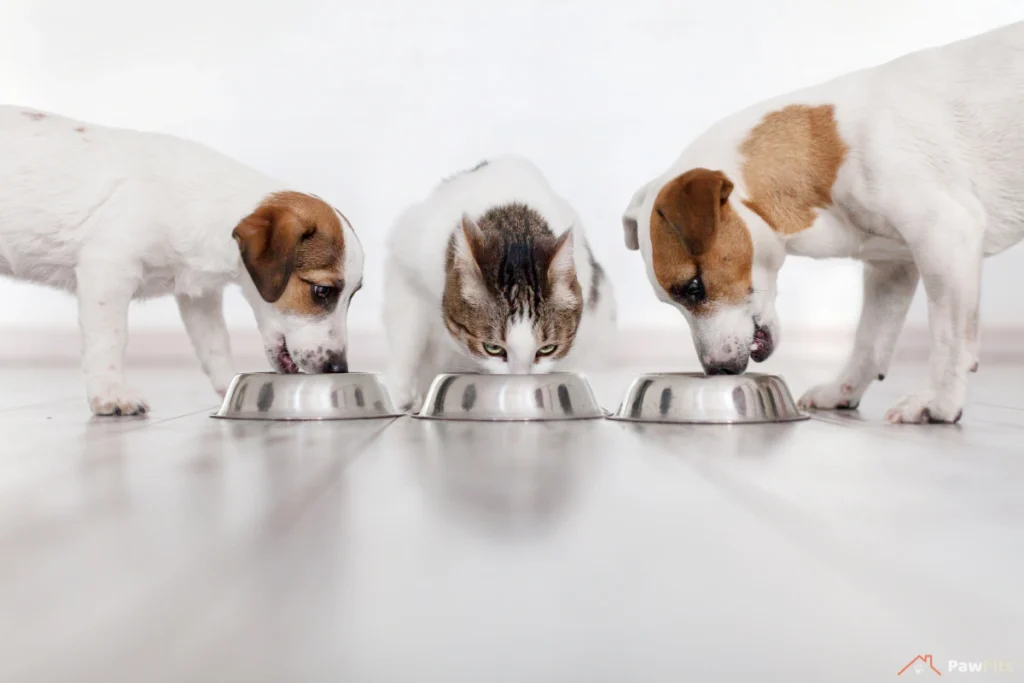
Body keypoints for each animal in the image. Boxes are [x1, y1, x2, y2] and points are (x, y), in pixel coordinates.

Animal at [0, 107, 366, 417]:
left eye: (353, 296)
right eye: (322, 291)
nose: (339, 369)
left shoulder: (200, 297)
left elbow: (216, 345)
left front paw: (228, 386)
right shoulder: (108, 270)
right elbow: (110, 339)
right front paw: (111, 393)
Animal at [380, 156, 610, 411]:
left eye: (547, 349)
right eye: (493, 348)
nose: (519, 380)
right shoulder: (407, 264)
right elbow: (407, 342)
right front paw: (397, 395)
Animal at [618, 22, 1024, 421]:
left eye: (694, 287)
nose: (716, 370)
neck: (829, 149)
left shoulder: (945, 237)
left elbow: (949, 337)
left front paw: (939, 402)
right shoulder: (891, 268)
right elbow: (870, 339)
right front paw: (842, 390)